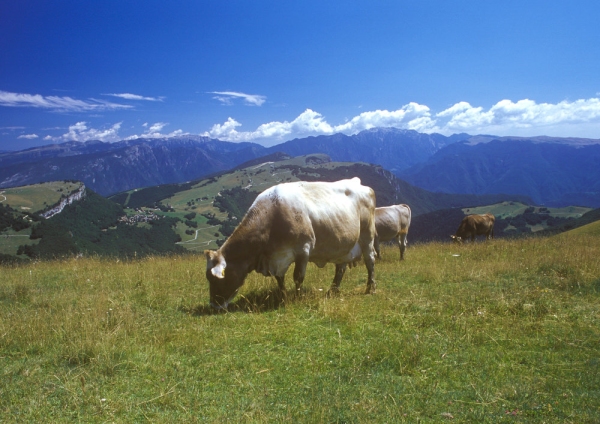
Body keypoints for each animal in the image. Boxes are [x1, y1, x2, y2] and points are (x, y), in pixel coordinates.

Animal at [204, 177, 378, 310]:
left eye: (214, 279)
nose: (213, 306)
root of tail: (357, 182)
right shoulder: (277, 258)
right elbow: (280, 279)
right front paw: (283, 297)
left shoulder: (303, 249)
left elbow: (298, 277)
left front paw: (298, 297)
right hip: (343, 245)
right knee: (340, 268)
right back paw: (332, 291)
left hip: (367, 235)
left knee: (370, 261)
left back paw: (371, 288)